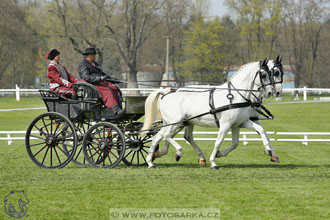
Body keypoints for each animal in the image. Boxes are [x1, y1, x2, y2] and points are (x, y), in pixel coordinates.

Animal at [143, 58, 278, 168]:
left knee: (158, 137)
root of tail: (166, 94)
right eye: (264, 74)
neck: (236, 96)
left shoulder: (239, 123)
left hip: (175, 123)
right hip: (176, 123)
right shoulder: (225, 125)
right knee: (166, 135)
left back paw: (150, 162)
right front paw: (213, 162)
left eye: (272, 73)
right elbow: (218, 142)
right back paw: (178, 152)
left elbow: (258, 132)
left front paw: (268, 151)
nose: (271, 92)